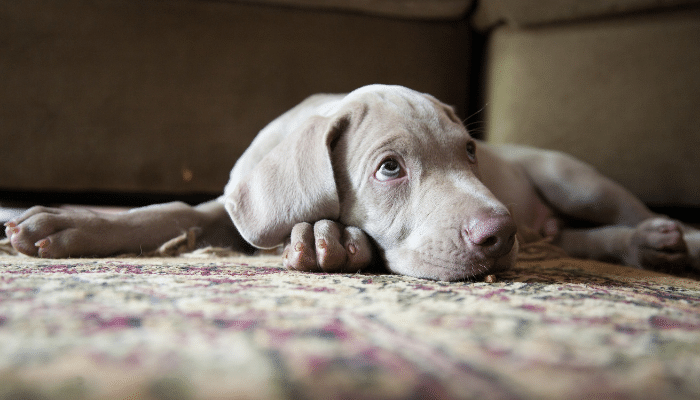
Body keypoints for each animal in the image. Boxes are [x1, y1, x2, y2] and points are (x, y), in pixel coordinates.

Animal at [4, 83, 696, 282]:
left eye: (471, 152)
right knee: (570, 239)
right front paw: (65, 222)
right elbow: (176, 210)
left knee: (618, 215)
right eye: (390, 168)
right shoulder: (231, 206)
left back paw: (669, 240)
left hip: (573, 180)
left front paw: (327, 239)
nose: (500, 235)